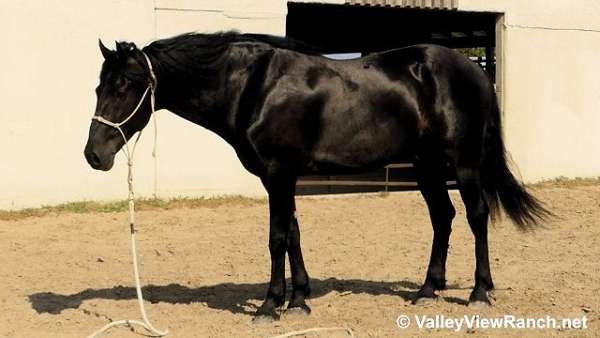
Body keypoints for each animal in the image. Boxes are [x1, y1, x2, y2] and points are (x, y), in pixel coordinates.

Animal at [83, 31, 548, 322]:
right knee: (442, 218)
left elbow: (276, 237)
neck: (254, 86)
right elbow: (293, 233)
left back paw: (479, 293)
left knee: (476, 215)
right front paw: (299, 301)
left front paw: (270, 306)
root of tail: (474, 70)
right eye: (98, 87)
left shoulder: (279, 171)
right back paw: (427, 290)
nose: (93, 155)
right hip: (426, 165)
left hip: (463, 163)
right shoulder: (279, 176)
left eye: (123, 85)